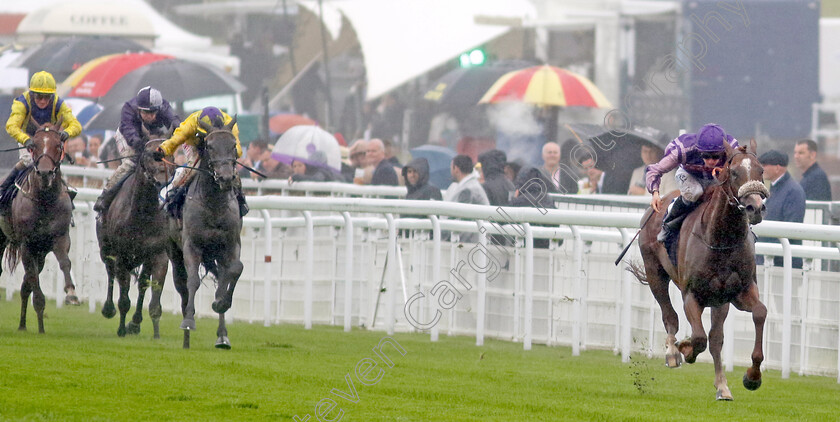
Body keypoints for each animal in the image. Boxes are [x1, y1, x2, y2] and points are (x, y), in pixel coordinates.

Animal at [0, 118, 76, 332]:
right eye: (33, 145)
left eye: (58, 145)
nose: (44, 173)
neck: (44, 200)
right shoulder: (27, 245)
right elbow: (34, 282)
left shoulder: (59, 238)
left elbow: (65, 263)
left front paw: (71, 293)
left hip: (40, 253)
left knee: (26, 285)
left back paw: (23, 325)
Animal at [166, 116, 241, 350]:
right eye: (209, 146)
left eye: (233, 145)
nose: (226, 178)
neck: (213, 203)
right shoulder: (192, 245)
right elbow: (193, 282)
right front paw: (189, 322)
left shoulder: (230, 244)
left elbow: (233, 271)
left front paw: (220, 303)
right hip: (174, 252)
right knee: (182, 287)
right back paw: (186, 336)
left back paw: (222, 336)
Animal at [632, 139, 768, 402]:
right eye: (734, 172)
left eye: (761, 171)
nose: (754, 208)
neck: (721, 239)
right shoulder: (691, 294)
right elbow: (697, 337)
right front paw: (685, 349)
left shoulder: (739, 292)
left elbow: (759, 313)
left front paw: (752, 377)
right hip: (655, 274)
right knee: (670, 316)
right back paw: (672, 353)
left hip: (719, 301)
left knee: (715, 339)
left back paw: (722, 387)